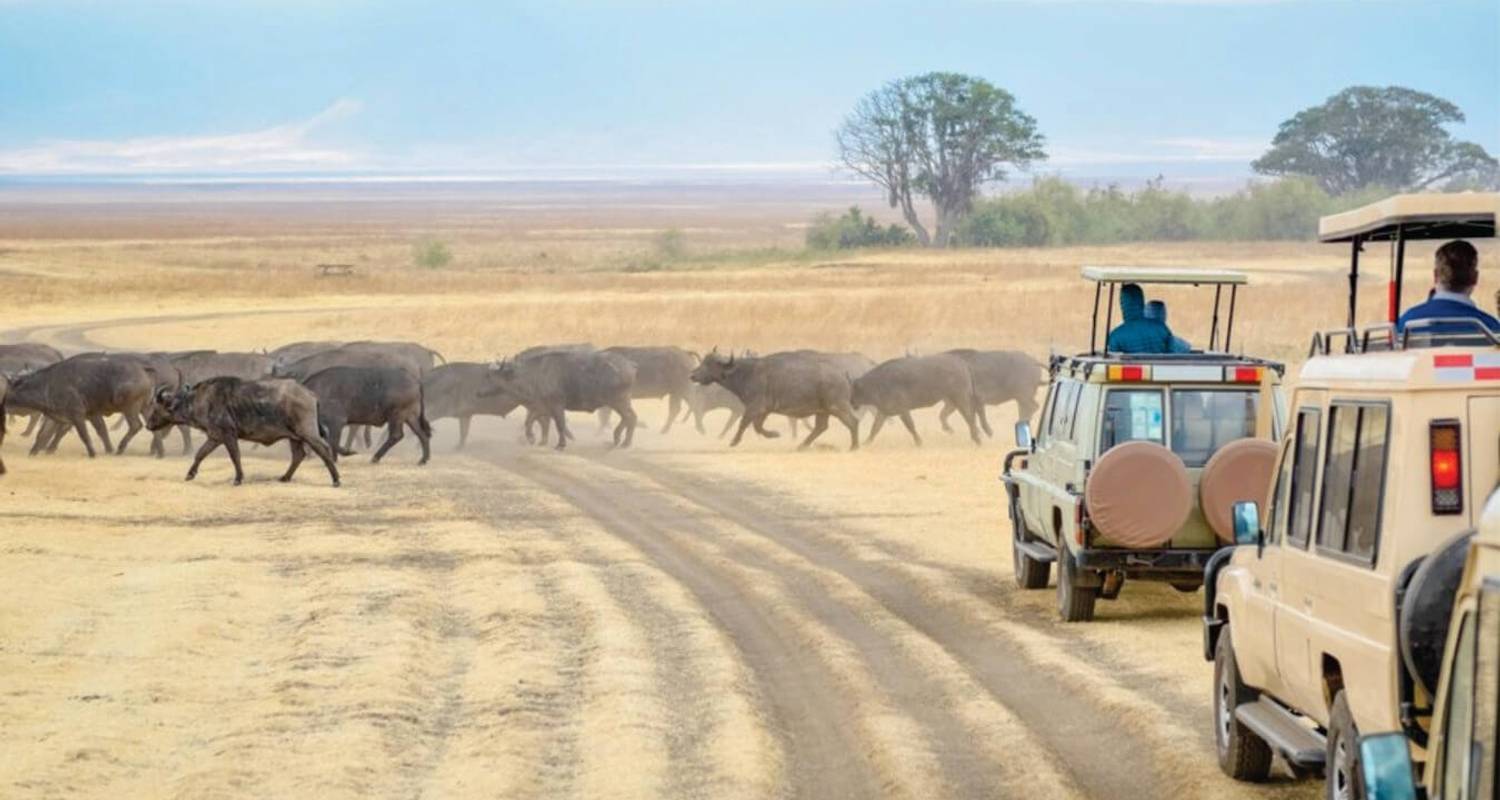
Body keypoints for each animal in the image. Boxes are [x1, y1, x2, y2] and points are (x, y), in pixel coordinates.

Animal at [142, 376, 337, 483]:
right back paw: (285, 477)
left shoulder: (229, 435)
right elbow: (200, 454)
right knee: (298, 455)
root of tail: (310, 394)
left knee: (324, 449)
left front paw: (238, 478)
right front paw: (190, 474)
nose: (148, 425)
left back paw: (335, 479)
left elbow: (235, 456)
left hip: (307, 433)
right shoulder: (215, 437)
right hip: (294, 437)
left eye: (156, 408)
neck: (200, 400)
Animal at [298, 363, 429, 462]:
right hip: (410, 417)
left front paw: (345, 453)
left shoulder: (336, 422)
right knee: (422, 434)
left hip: (396, 416)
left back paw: (375, 458)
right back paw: (423, 459)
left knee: (396, 435)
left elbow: (333, 442)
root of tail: (415, 381)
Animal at [483, 349, 636, 450]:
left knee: (629, 417)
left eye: (492, 377)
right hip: (622, 402)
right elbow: (529, 421)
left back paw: (619, 439)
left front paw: (561, 445)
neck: (535, 375)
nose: (481, 392)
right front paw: (532, 438)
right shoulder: (541, 406)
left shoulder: (556, 405)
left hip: (618, 401)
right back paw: (624, 441)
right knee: (631, 417)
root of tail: (629, 365)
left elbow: (560, 424)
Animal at [687, 352, 858, 453]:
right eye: (703, 362)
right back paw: (802, 446)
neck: (746, 372)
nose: (693, 376)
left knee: (853, 421)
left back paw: (854, 446)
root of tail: (842, 373)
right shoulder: (764, 411)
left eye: (710, 364)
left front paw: (734, 441)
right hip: (823, 411)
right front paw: (774, 434)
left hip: (837, 406)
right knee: (821, 427)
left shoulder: (755, 407)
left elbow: (744, 423)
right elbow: (757, 426)